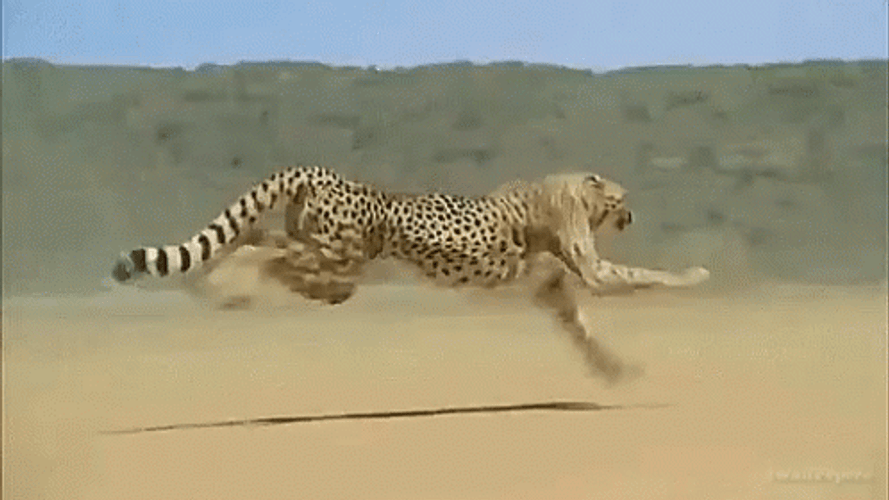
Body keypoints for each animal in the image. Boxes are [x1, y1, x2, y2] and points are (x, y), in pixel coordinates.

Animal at [112, 165, 710, 382]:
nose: (631, 215)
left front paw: (614, 369)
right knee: (274, 258)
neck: (570, 189)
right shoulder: (590, 267)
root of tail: (320, 173)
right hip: (339, 259)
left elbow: (580, 328)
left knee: (256, 239)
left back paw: (217, 280)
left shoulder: (549, 287)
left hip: (322, 252)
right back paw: (228, 287)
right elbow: (641, 274)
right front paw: (697, 275)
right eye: (621, 199)